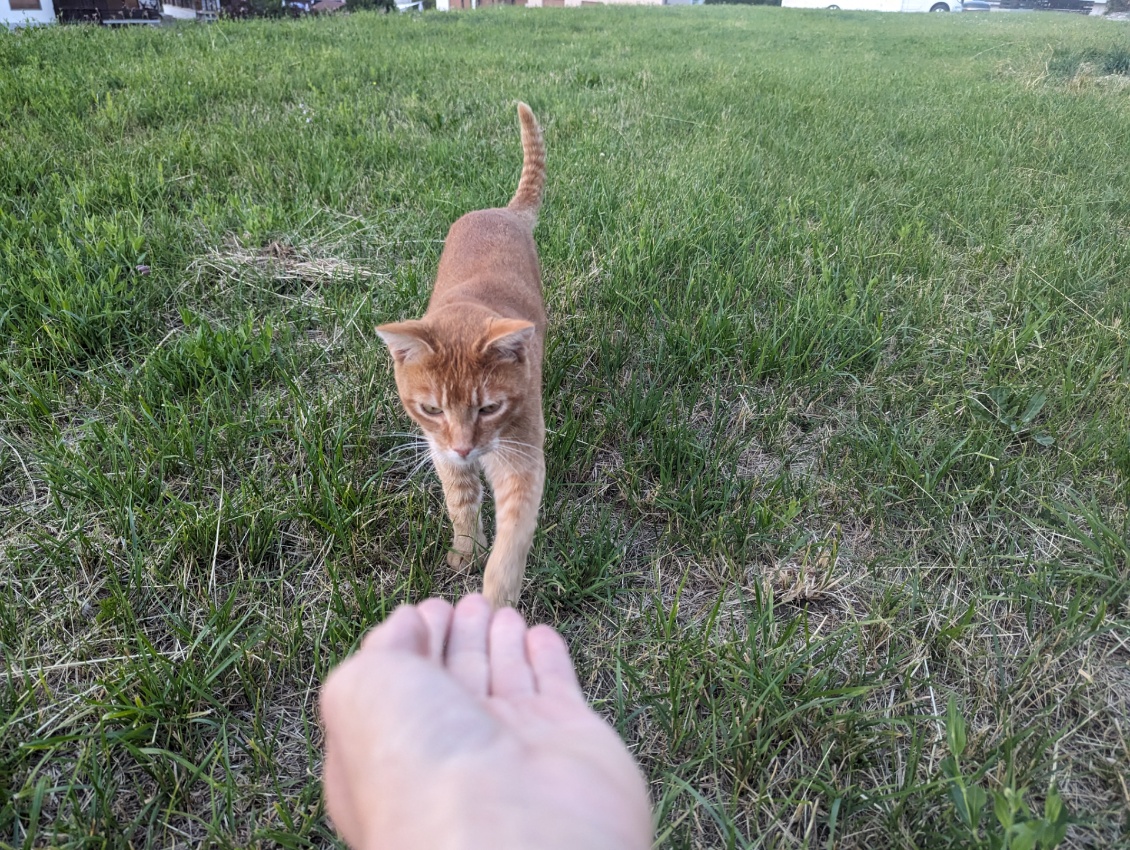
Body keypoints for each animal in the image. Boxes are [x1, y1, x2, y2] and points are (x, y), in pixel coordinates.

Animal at [379, 102, 546, 605]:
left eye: (489, 408)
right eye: (432, 409)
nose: (464, 446)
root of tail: (502, 212)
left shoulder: (522, 462)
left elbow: (512, 538)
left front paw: (495, 598)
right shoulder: (440, 451)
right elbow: (461, 502)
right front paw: (467, 550)